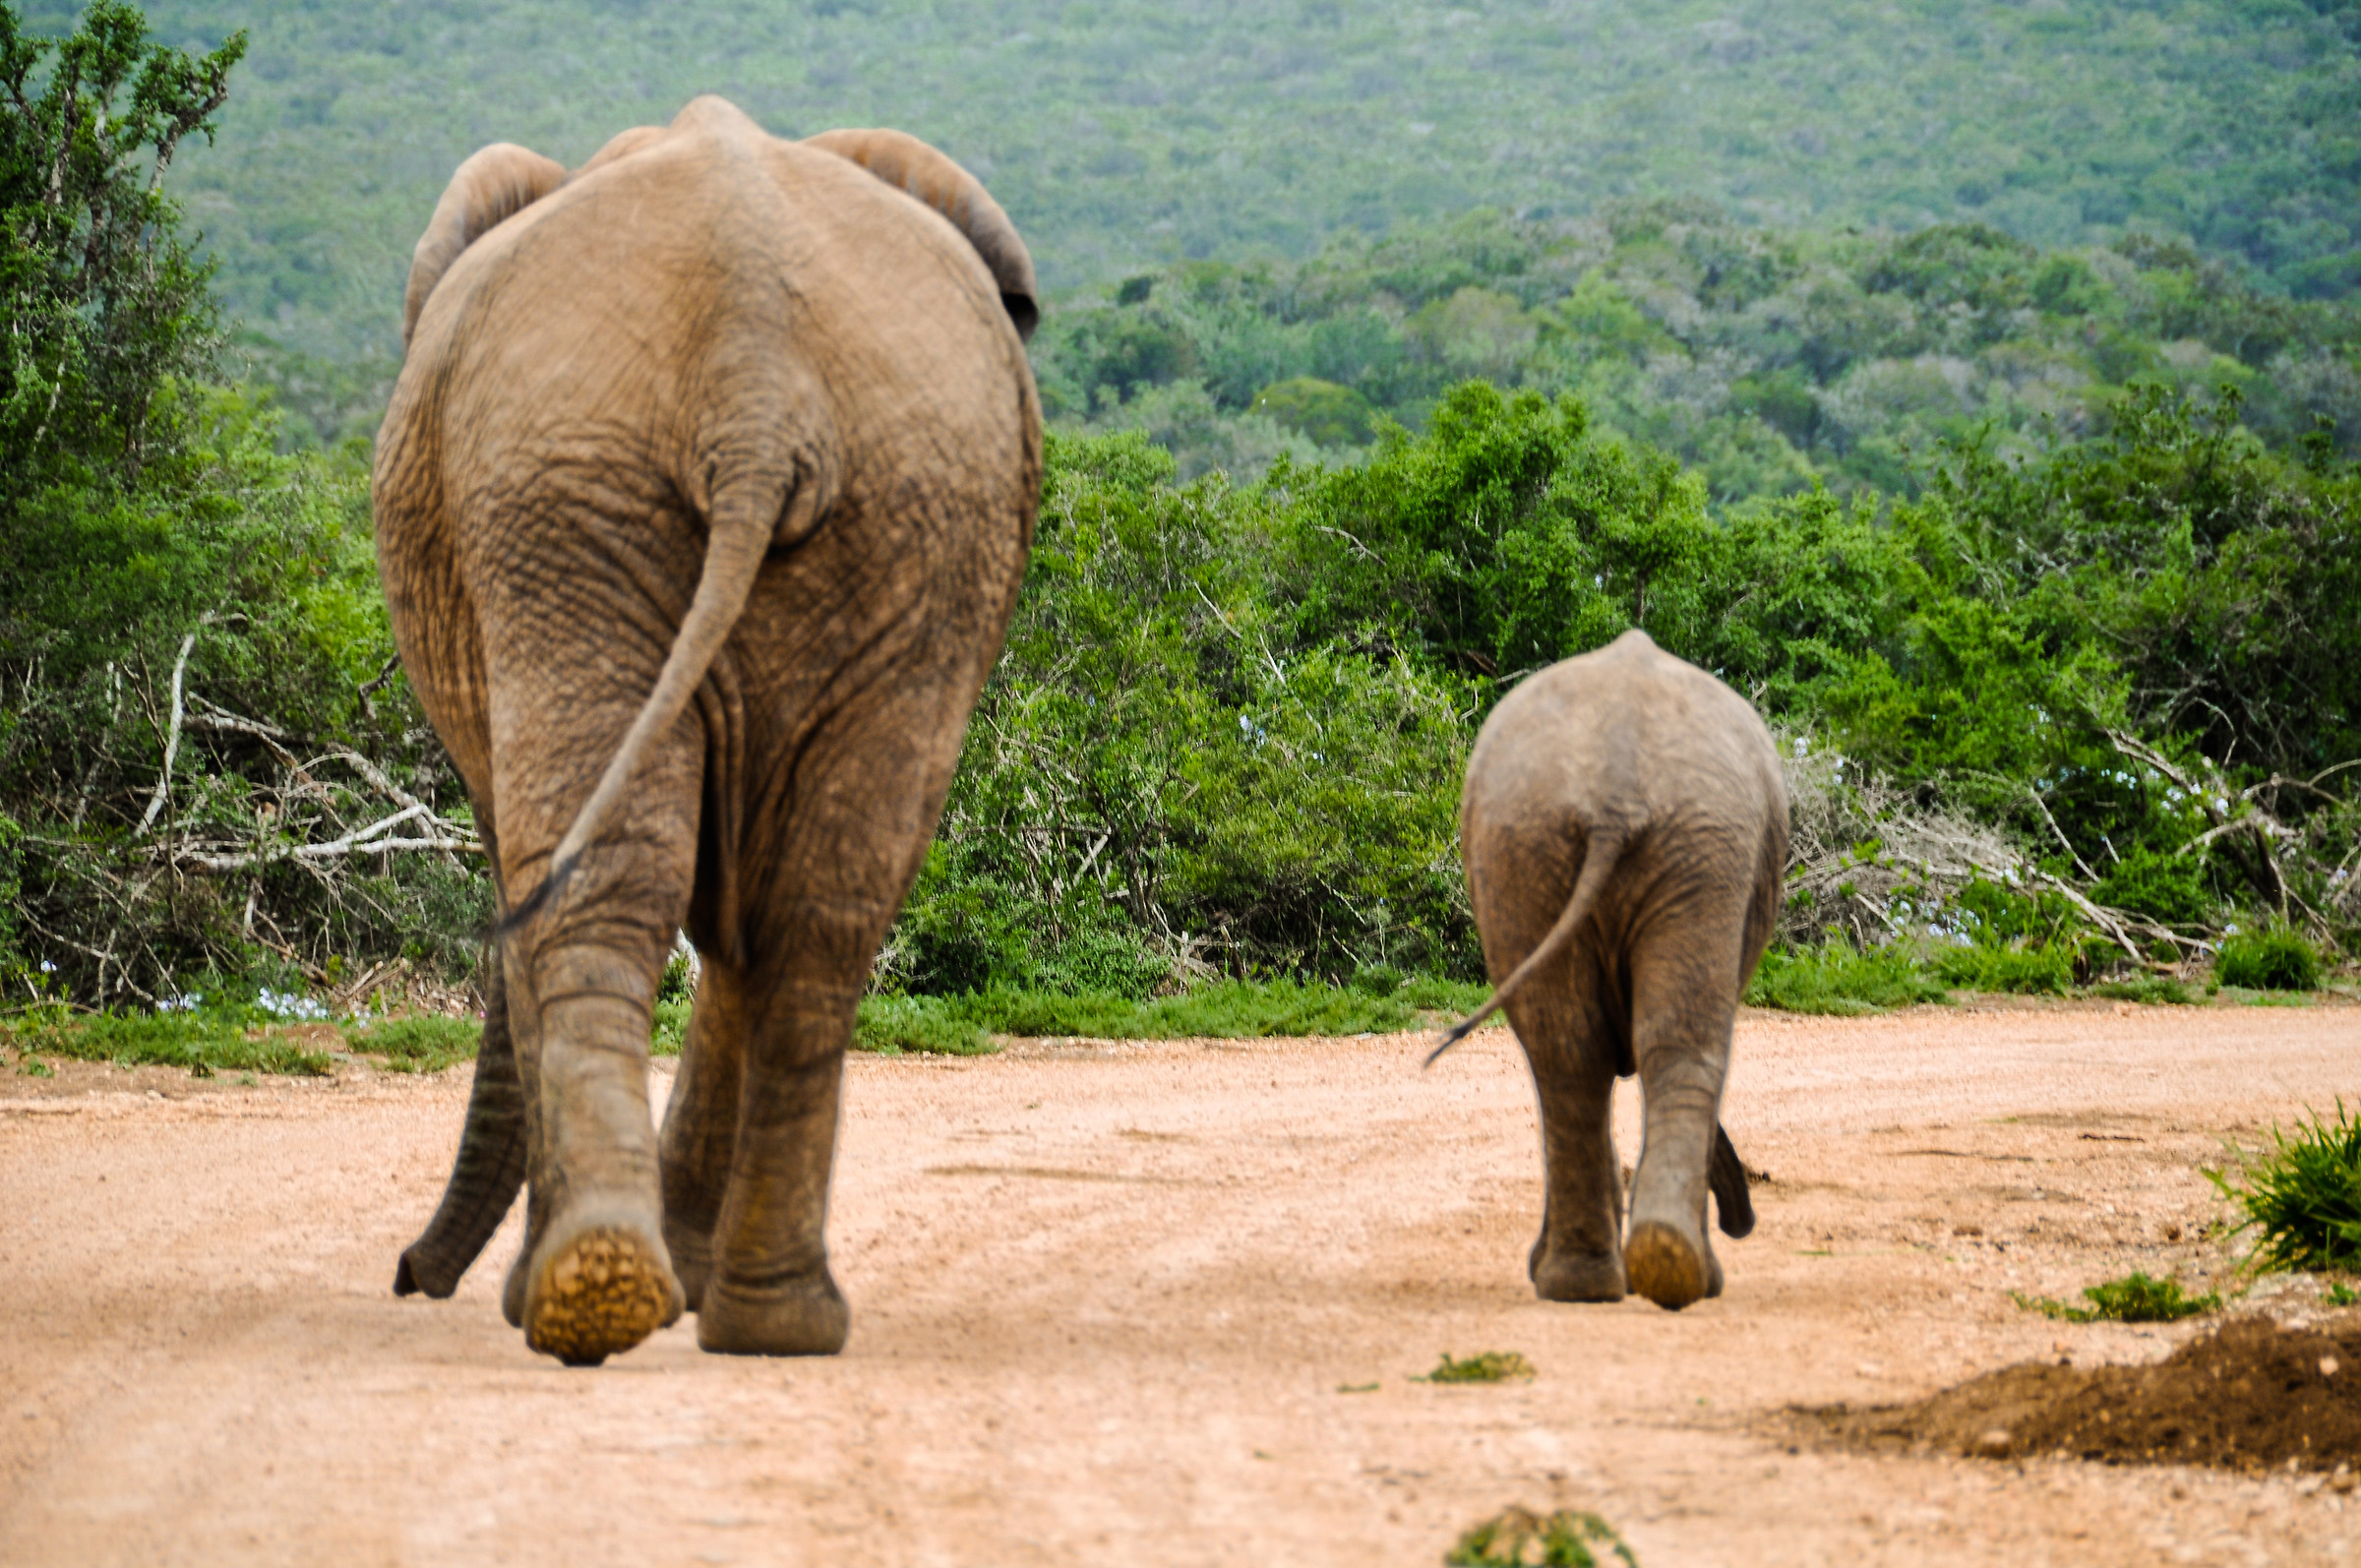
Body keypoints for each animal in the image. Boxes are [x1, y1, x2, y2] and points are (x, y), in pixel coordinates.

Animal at [375, 97, 1041, 1365]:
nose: (407, 1275)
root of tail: (758, 386)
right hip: (911, 516)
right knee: (817, 914)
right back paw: (765, 1323)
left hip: (565, 510)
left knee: (596, 887)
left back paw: (586, 1296)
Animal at [1434, 629, 1786, 1310]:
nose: (1744, 1222)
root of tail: (1615, 794)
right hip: (1678, 844)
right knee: (1659, 1046)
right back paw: (1661, 1275)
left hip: (1547, 840)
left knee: (1570, 1052)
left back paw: (1604, 1280)